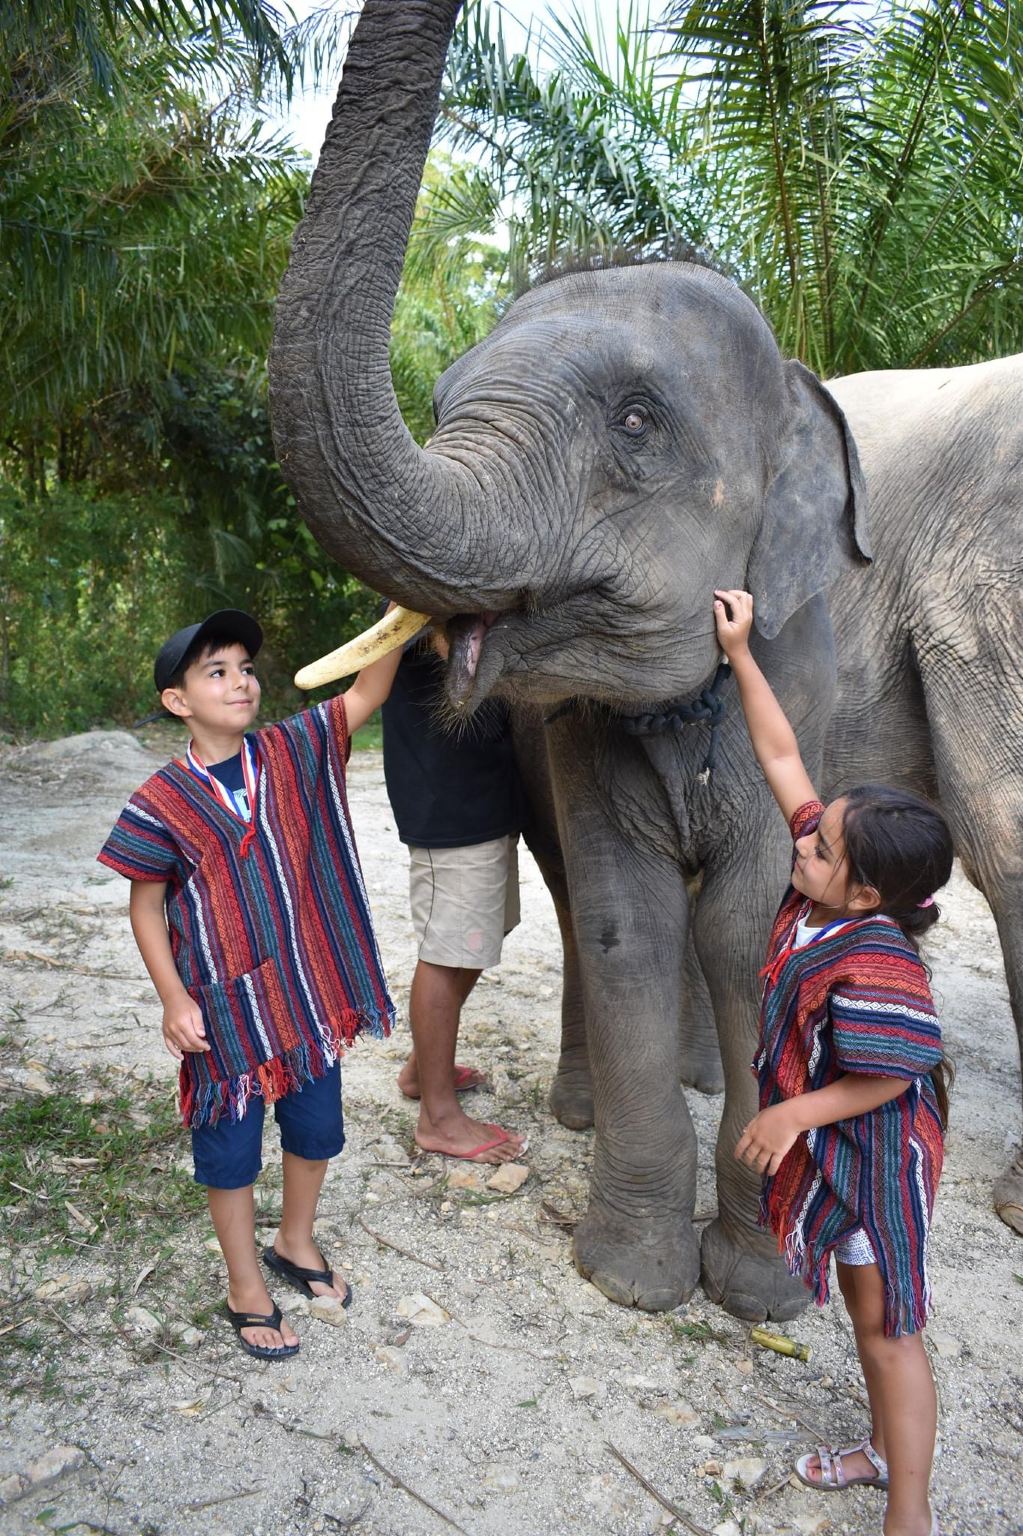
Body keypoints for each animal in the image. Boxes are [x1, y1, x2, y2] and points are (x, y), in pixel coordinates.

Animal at [268, 0, 1023, 1316]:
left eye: (636, 422)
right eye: (445, 404)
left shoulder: (807, 673)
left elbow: (748, 923)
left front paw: (763, 1286)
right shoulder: (574, 729)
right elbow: (628, 919)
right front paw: (636, 1277)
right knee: (581, 910)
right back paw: (590, 1106)